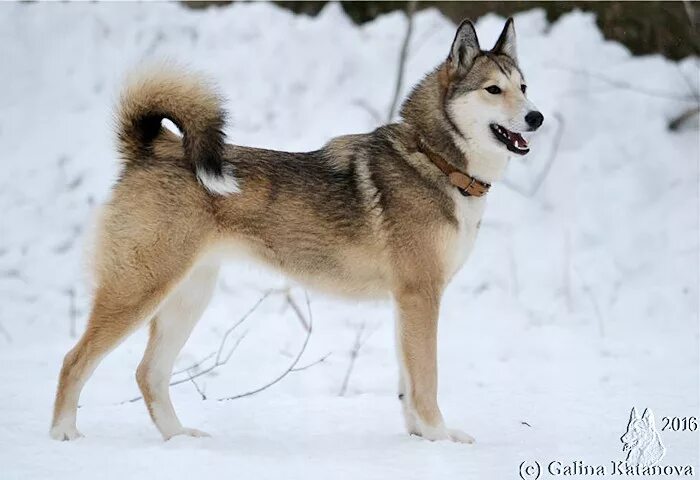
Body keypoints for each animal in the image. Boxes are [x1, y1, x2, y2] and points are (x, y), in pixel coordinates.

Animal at [52, 15, 544, 442]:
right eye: (493, 89)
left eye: (523, 87)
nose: (536, 117)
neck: (436, 160)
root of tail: (152, 148)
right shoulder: (421, 296)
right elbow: (427, 380)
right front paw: (441, 436)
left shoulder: (406, 302)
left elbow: (408, 383)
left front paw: (419, 437)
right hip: (139, 290)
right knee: (74, 360)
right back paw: (64, 433)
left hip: (187, 298)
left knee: (148, 373)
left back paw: (179, 438)